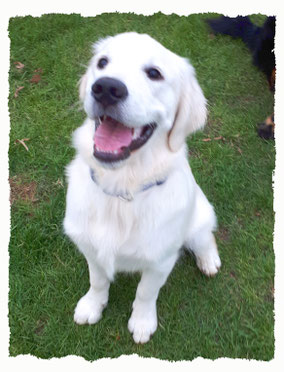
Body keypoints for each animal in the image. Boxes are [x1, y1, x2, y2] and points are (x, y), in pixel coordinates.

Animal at [63, 33, 221, 344]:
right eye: (102, 62)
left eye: (154, 73)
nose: (106, 88)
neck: (122, 188)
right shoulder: (89, 247)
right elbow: (97, 280)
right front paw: (92, 305)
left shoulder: (160, 260)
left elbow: (146, 292)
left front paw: (142, 322)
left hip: (199, 217)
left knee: (205, 236)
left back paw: (209, 260)